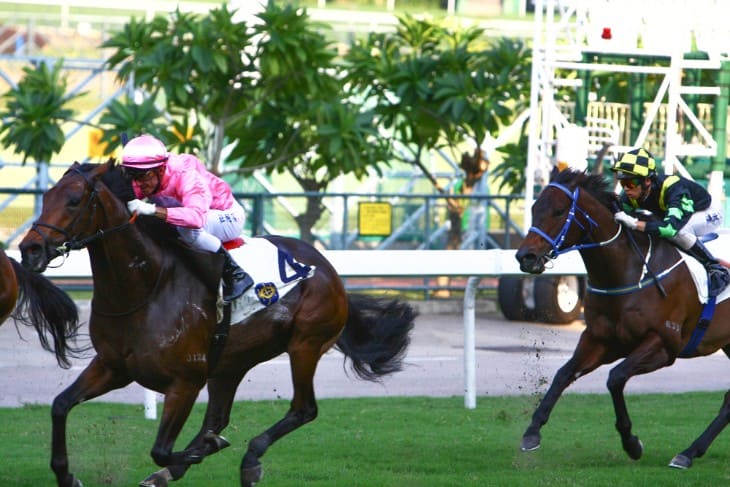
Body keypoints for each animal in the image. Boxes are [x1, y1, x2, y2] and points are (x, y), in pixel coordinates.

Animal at [18, 160, 416, 487]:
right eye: (46, 196)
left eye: (74, 201)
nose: (30, 250)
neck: (146, 287)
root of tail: (328, 269)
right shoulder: (113, 366)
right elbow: (60, 405)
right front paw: (66, 475)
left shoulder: (186, 380)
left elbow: (161, 449)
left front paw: (190, 455)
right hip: (230, 363)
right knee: (219, 418)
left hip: (305, 345)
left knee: (303, 409)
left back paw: (250, 459)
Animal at [512, 169, 728, 468]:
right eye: (534, 209)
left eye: (558, 211)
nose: (526, 257)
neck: (625, 270)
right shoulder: (601, 339)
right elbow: (563, 374)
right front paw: (532, 432)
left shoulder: (663, 345)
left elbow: (615, 378)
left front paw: (631, 443)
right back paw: (689, 452)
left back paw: (687, 453)